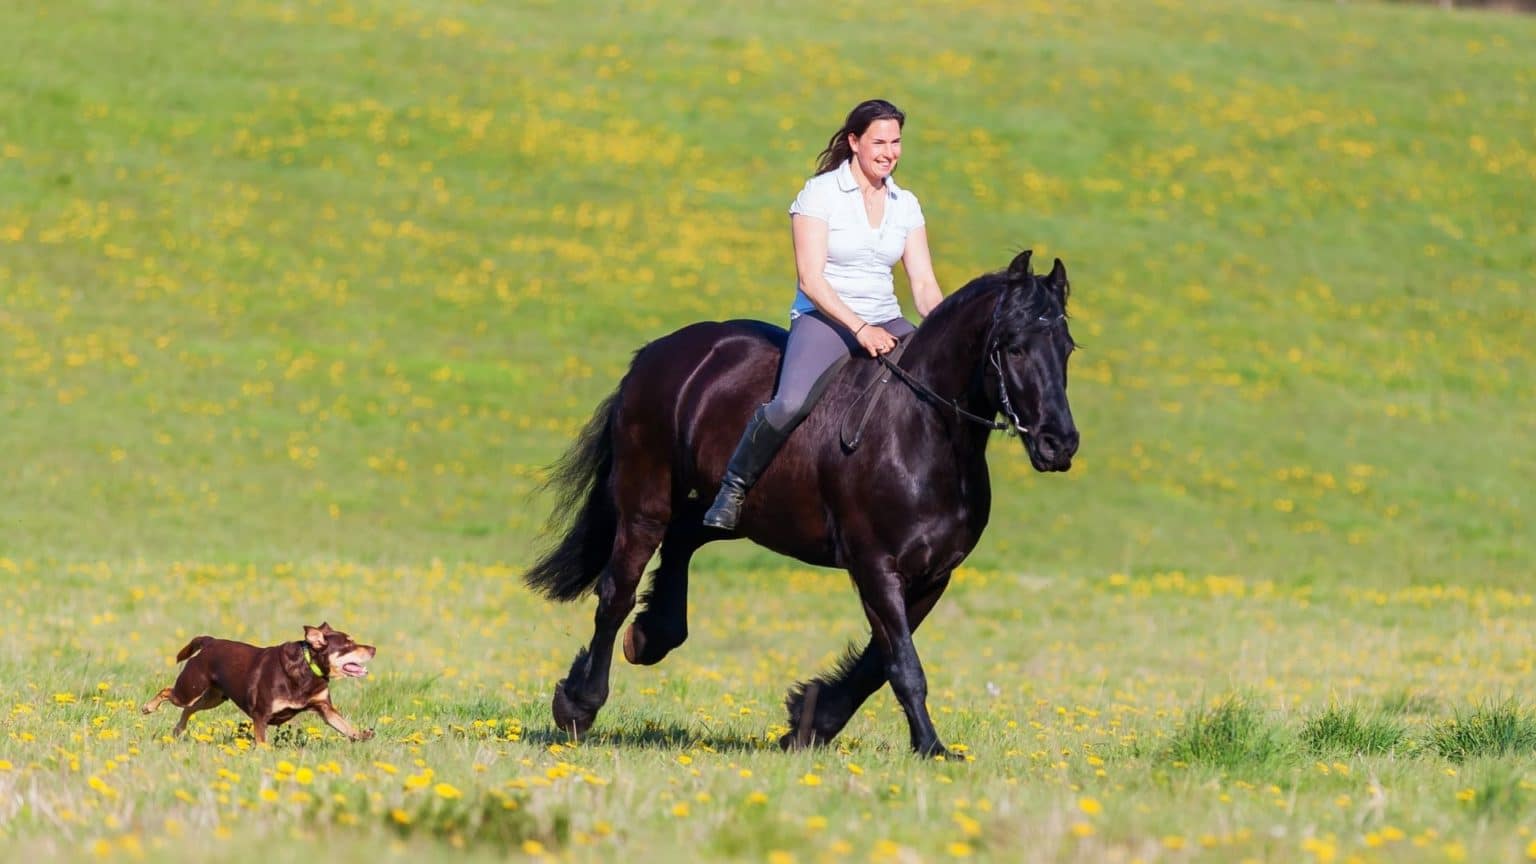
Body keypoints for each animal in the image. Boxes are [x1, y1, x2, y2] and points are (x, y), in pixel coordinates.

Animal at [524, 249, 1078, 758]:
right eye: (1014, 349)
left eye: (1067, 348)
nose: (1060, 444)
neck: (924, 431)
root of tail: (657, 353)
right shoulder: (875, 565)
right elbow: (903, 665)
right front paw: (931, 748)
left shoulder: (933, 575)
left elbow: (877, 663)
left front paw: (809, 722)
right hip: (646, 499)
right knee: (617, 590)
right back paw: (578, 706)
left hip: (736, 510)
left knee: (685, 538)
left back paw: (652, 636)